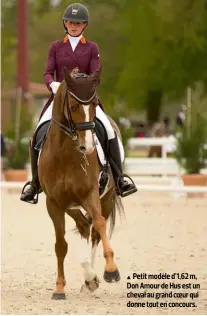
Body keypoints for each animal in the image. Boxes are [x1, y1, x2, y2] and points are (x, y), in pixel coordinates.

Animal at [37, 66, 124, 298]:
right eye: (74, 106)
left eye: (94, 104)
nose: (89, 147)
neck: (65, 154)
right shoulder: (54, 203)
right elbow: (60, 245)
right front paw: (59, 288)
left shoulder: (90, 194)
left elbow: (100, 224)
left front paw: (111, 270)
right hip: (70, 205)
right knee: (84, 226)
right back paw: (88, 277)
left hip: (107, 198)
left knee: (93, 232)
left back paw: (91, 277)